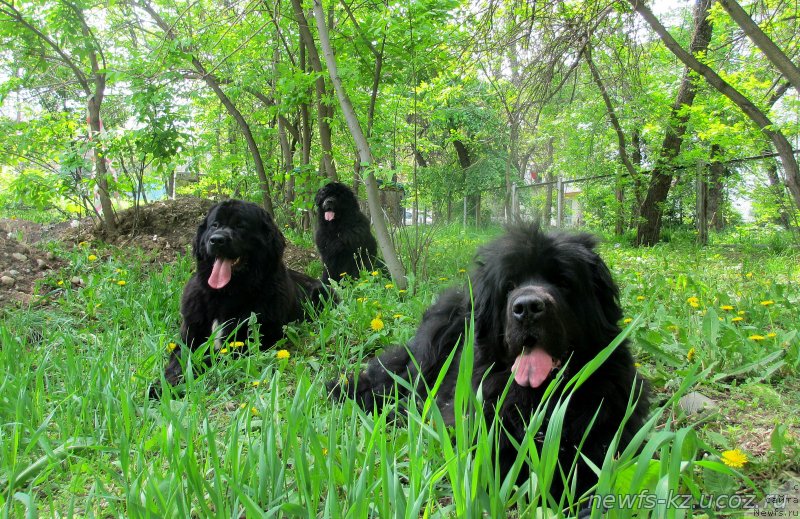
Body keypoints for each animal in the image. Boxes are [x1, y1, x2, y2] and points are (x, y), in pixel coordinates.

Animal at [150, 201, 324, 396]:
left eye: (241, 226)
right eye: (215, 225)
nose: (217, 240)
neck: (224, 295)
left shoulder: (249, 343)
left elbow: (210, 358)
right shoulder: (190, 336)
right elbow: (181, 359)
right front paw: (164, 384)